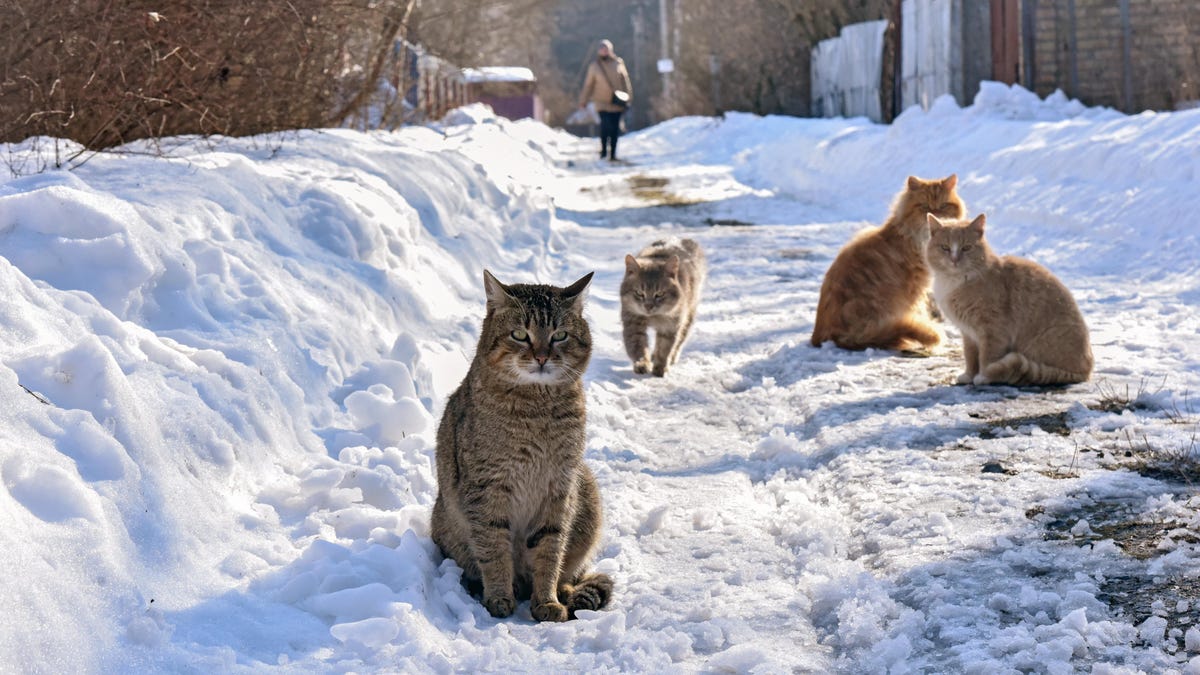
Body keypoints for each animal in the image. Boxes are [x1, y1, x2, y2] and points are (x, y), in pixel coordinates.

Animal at [432, 269, 614, 619]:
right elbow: (493, 548)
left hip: (587, 494)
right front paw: (499, 596)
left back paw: (566, 592)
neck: (537, 409)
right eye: (519, 334)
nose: (541, 357)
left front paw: (547, 601)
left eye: (559, 335)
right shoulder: (487, 488)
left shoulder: (559, 487)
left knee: (573, 572)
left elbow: (550, 551)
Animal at [624, 235, 705, 372]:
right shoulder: (633, 322)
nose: (648, 306)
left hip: (689, 315)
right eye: (639, 293)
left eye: (660, 294)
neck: (654, 317)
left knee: (679, 342)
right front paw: (642, 363)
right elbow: (637, 347)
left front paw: (660, 368)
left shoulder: (671, 325)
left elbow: (665, 348)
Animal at [806, 172, 964, 353]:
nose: (936, 215)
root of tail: (822, 337)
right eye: (924, 207)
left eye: (944, 206)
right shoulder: (914, 290)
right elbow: (919, 312)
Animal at [921, 212, 1094, 386]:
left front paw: (984, 376)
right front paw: (969, 375)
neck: (955, 281)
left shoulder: (993, 330)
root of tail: (1086, 371)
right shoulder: (968, 333)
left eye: (966, 248)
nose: (954, 259)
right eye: (945, 247)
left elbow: (986, 357)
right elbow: (970, 357)